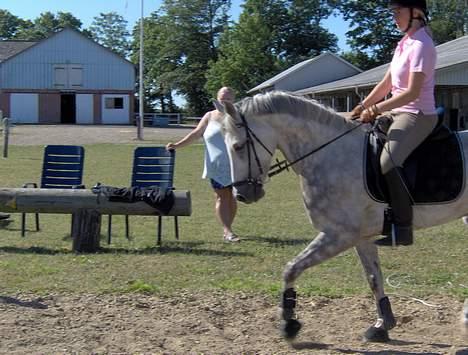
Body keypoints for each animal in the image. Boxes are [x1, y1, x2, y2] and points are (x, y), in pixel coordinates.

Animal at [217, 92, 468, 344]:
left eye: (238, 146)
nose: (242, 194)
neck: (329, 154)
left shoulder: (339, 235)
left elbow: (291, 268)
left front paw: (289, 323)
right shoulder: (361, 237)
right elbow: (373, 278)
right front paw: (382, 325)